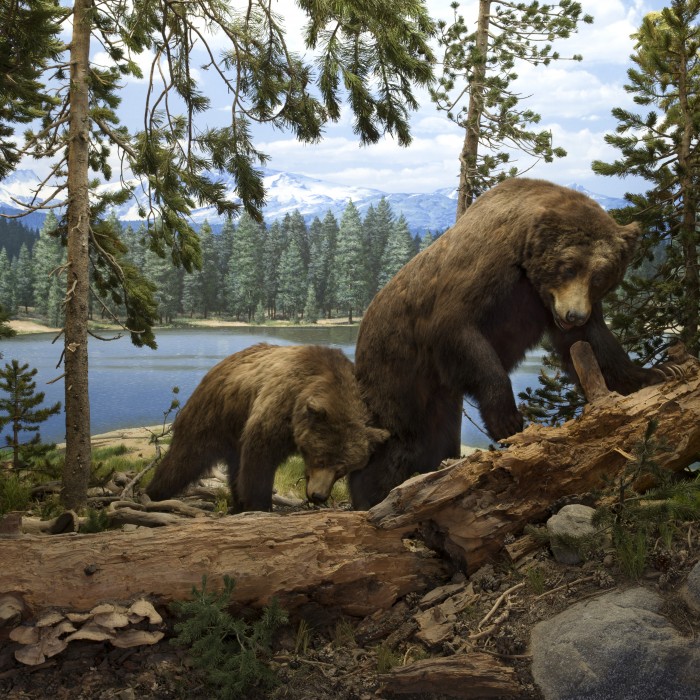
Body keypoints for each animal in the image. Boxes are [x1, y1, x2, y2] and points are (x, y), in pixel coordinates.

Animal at [146, 343, 389, 511]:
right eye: (320, 459)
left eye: (342, 469)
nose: (318, 495)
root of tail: (220, 364)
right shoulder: (279, 406)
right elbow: (259, 458)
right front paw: (259, 505)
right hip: (215, 413)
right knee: (184, 458)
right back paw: (153, 494)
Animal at [349, 177, 677, 510]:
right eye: (568, 267)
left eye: (600, 276)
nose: (574, 315)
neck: (525, 264)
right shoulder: (479, 279)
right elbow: (461, 334)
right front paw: (507, 419)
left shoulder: (547, 304)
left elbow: (593, 343)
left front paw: (657, 372)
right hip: (398, 368)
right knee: (400, 435)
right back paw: (373, 495)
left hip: (439, 395)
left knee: (437, 434)